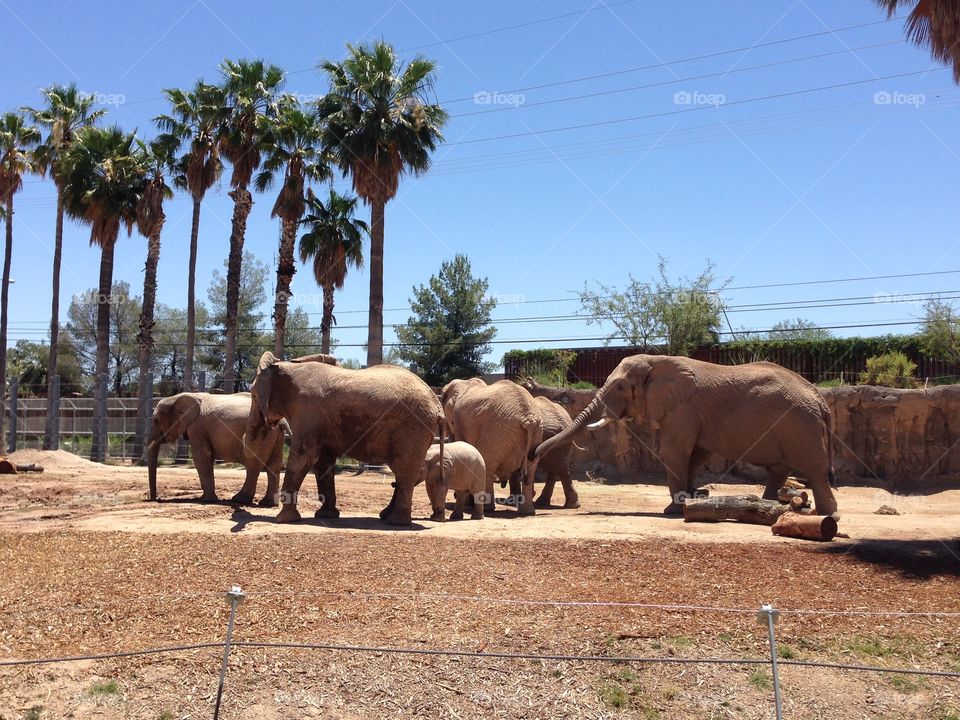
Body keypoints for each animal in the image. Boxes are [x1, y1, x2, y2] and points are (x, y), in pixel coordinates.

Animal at [146, 392, 285, 506]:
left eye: (156, 420)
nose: (154, 499)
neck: (176, 397)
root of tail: (282, 421)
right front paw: (206, 498)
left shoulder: (197, 427)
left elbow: (202, 456)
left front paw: (206, 500)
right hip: (274, 435)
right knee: (274, 466)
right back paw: (267, 503)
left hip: (260, 433)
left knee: (253, 466)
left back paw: (239, 500)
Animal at [248, 352, 445, 526]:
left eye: (253, 395)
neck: (287, 366)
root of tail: (438, 405)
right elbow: (323, 462)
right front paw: (326, 515)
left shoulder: (308, 413)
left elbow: (304, 457)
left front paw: (283, 520)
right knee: (403, 472)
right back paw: (386, 516)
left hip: (412, 429)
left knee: (404, 471)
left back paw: (396, 522)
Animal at [441, 378, 542, 516]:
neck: (465, 383)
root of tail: (529, 419)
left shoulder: (458, 420)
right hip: (536, 432)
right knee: (530, 469)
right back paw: (527, 512)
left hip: (497, 432)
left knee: (488, 463)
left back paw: (487, 508)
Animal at [533, 354, 839, 517]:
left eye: (619, 387)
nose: (534, 452)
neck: (657, 360)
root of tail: (820, 399)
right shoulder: (692, 414)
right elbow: (695, 455)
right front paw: (692, 499)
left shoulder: (683, 408)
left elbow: (675, 451)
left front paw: (672, 510)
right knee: (781, 469)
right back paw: (770, 506)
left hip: (801, 426)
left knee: (814, 470)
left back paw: (826, 514)